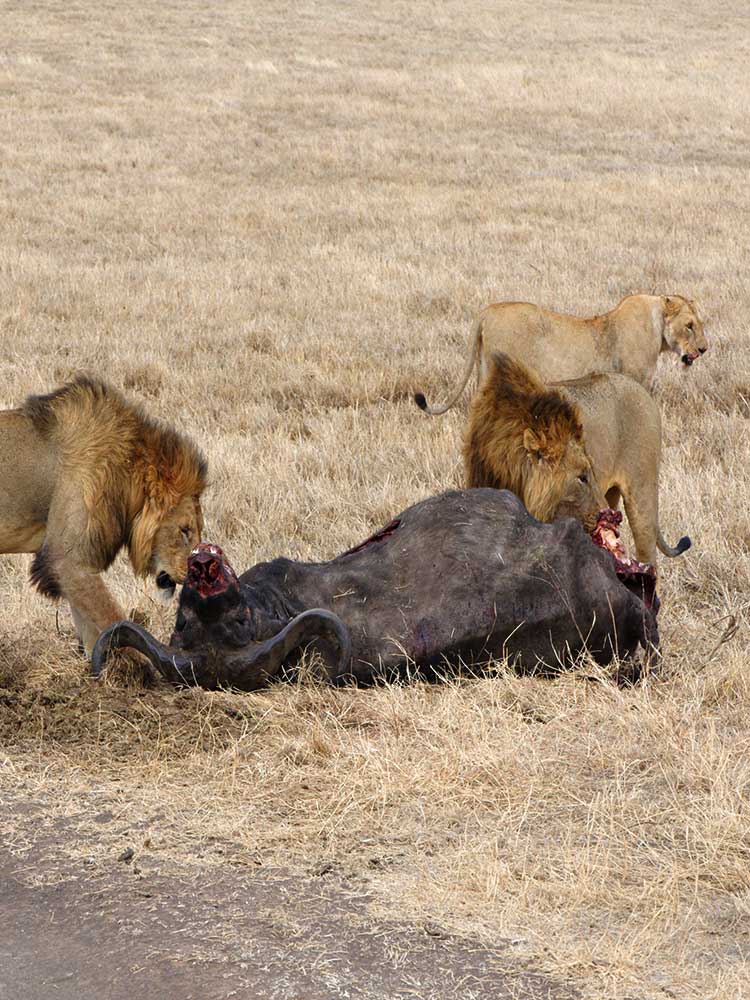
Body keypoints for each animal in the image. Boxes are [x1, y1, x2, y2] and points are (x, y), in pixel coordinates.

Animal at [0, 376, 207, 654]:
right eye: (184, 530)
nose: (198, 580)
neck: (125, 473)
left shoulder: (72, 567)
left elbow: (90, 629)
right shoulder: (67, 559)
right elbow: (114, 619)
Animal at [416, 293, 707, 414]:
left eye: (699, 323)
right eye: (689, 325)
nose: (704, 349)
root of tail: (487, 311)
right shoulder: (636, 381)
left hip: (484, 370)